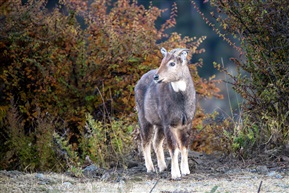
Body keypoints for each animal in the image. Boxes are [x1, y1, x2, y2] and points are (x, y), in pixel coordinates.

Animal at [134, 47, 196, 179]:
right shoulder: (169, 124)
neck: (181, 101)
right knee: (145, 142)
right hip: (144, 120)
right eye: (162, 61)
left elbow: (184, 146)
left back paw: (163, 167)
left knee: (156, 142)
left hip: (159, 125)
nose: (157, 77)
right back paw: (151, 168)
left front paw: (185, 171)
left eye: (172, 63)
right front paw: (176, 174)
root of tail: (138, 83)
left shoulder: (186, 123)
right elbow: (174, 148)